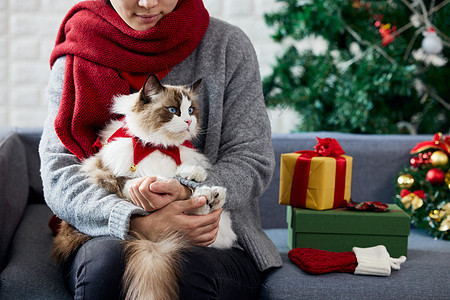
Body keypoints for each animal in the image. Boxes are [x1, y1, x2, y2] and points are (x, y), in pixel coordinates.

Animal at [51, 74, 237, 300]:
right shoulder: (108, 174)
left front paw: (192, 174)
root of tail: (155, 242)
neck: (158, 146)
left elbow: (182, 175)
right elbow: (136, 182)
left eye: (191, 110)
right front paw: (158, 181)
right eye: (173, 110)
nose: (188, 121)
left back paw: (212, 197)